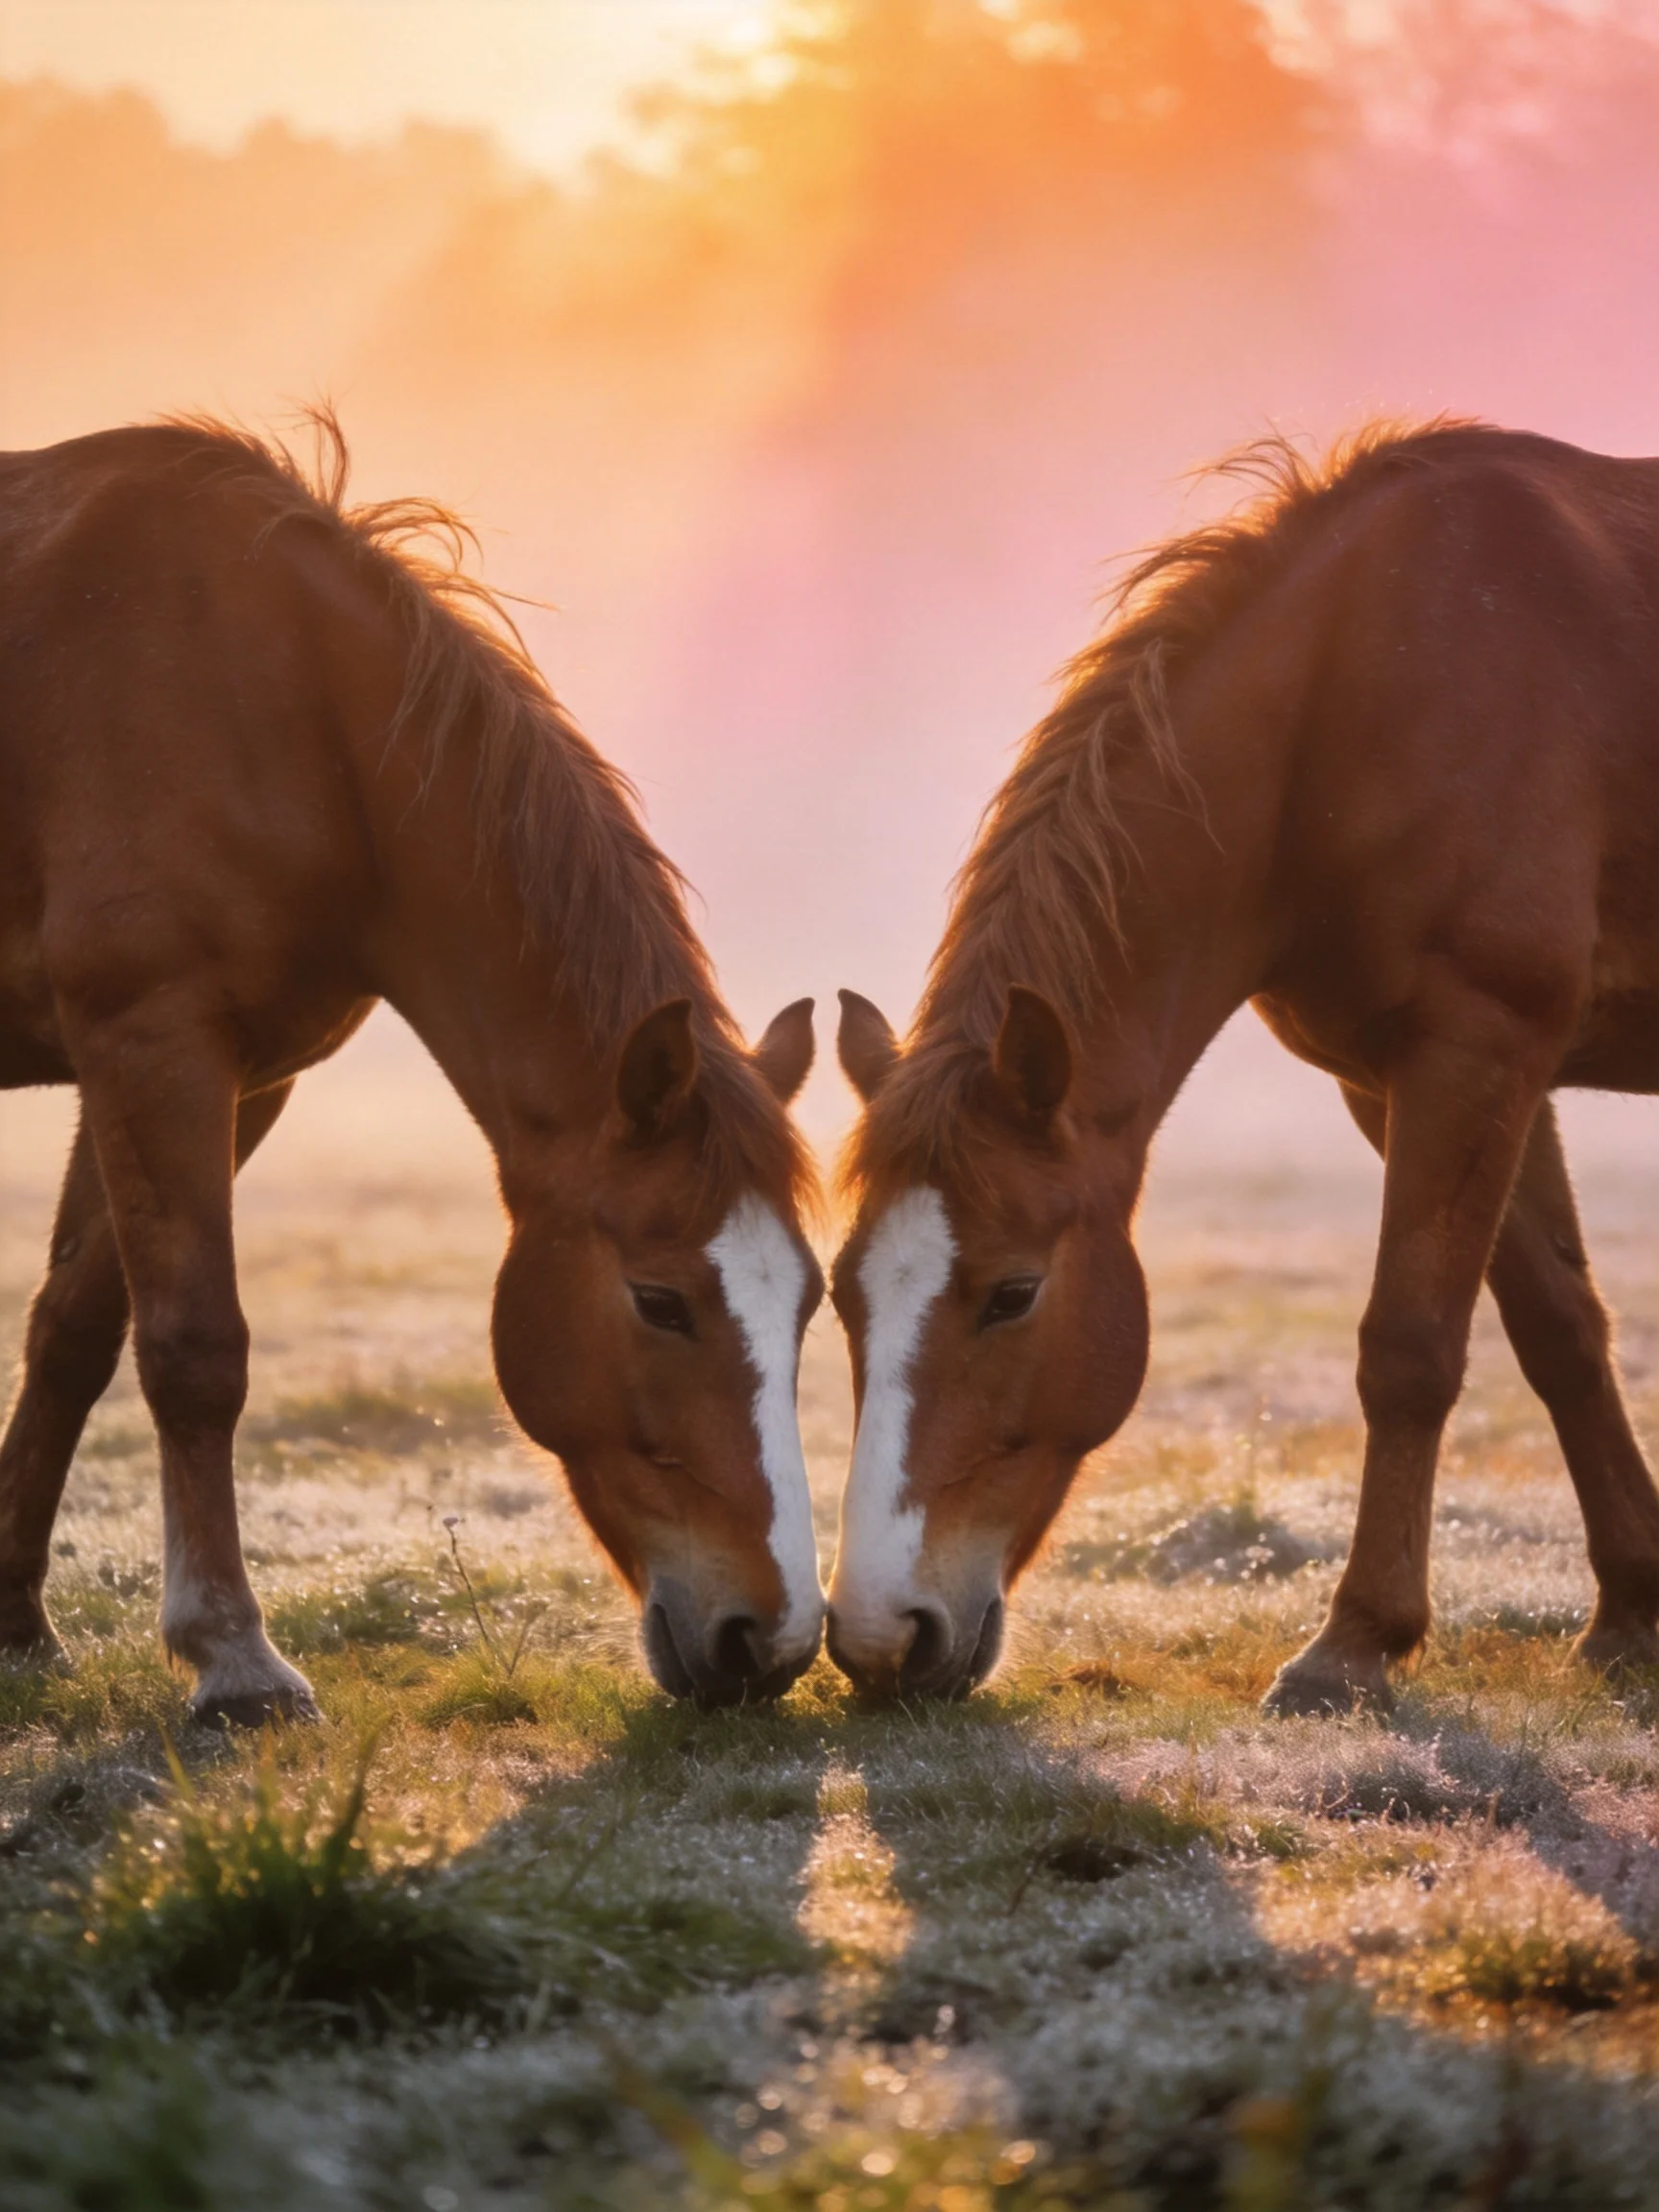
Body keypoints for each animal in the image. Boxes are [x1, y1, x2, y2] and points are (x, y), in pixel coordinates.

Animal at [0, 413, 824, 1723]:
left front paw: (18, 1621)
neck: (276, 707)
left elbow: (74, 1333)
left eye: (807, 1299)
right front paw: (233, 1656)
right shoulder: (151, 1039)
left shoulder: (236, 1077)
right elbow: (193, 1348)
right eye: (659, 1301)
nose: (772, 1642)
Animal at [827, 420, 1659, 1711]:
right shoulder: (1415, 1078)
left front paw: (1355, 1640)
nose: (879, 1640)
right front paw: (1630, 1612)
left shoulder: (1477, 1050)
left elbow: (1410, 1345)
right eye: (843, 1293)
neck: (1359, 694)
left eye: (1013, 1294)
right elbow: (1560, 1328)